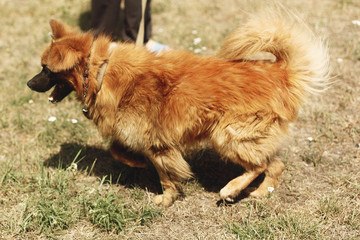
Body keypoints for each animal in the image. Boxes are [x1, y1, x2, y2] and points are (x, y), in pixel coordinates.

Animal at [27, 9, 330, 206]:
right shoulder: (143, 137)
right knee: (275, 164)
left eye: (46, 69)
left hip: (227, 134)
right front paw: (136, 163)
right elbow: (116, 148)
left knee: (261, 164)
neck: (99, 72)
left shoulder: (158, 144)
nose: (29, 83)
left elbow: (165, 175)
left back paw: (231, 189)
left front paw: (165, 198)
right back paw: (261, 193)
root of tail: (281, 72)